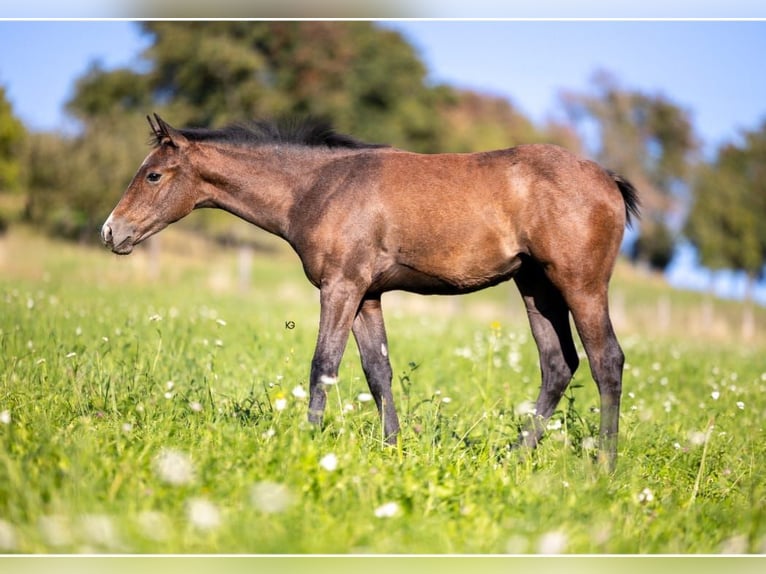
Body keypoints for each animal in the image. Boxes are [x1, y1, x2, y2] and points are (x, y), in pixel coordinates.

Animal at [102, 114, 639, 471]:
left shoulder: (341, 286)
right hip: (535, 286)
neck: (319, 187)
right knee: (558, 363)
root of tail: (607, 178)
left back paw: (605, 467)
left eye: (153, 174)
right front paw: (392, 449)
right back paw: (515, 457)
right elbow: (377, 370)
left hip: (580, 283)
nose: (111, 232)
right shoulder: (367, 295)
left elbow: (324, 365)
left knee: (606, 359)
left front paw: (310, 440)